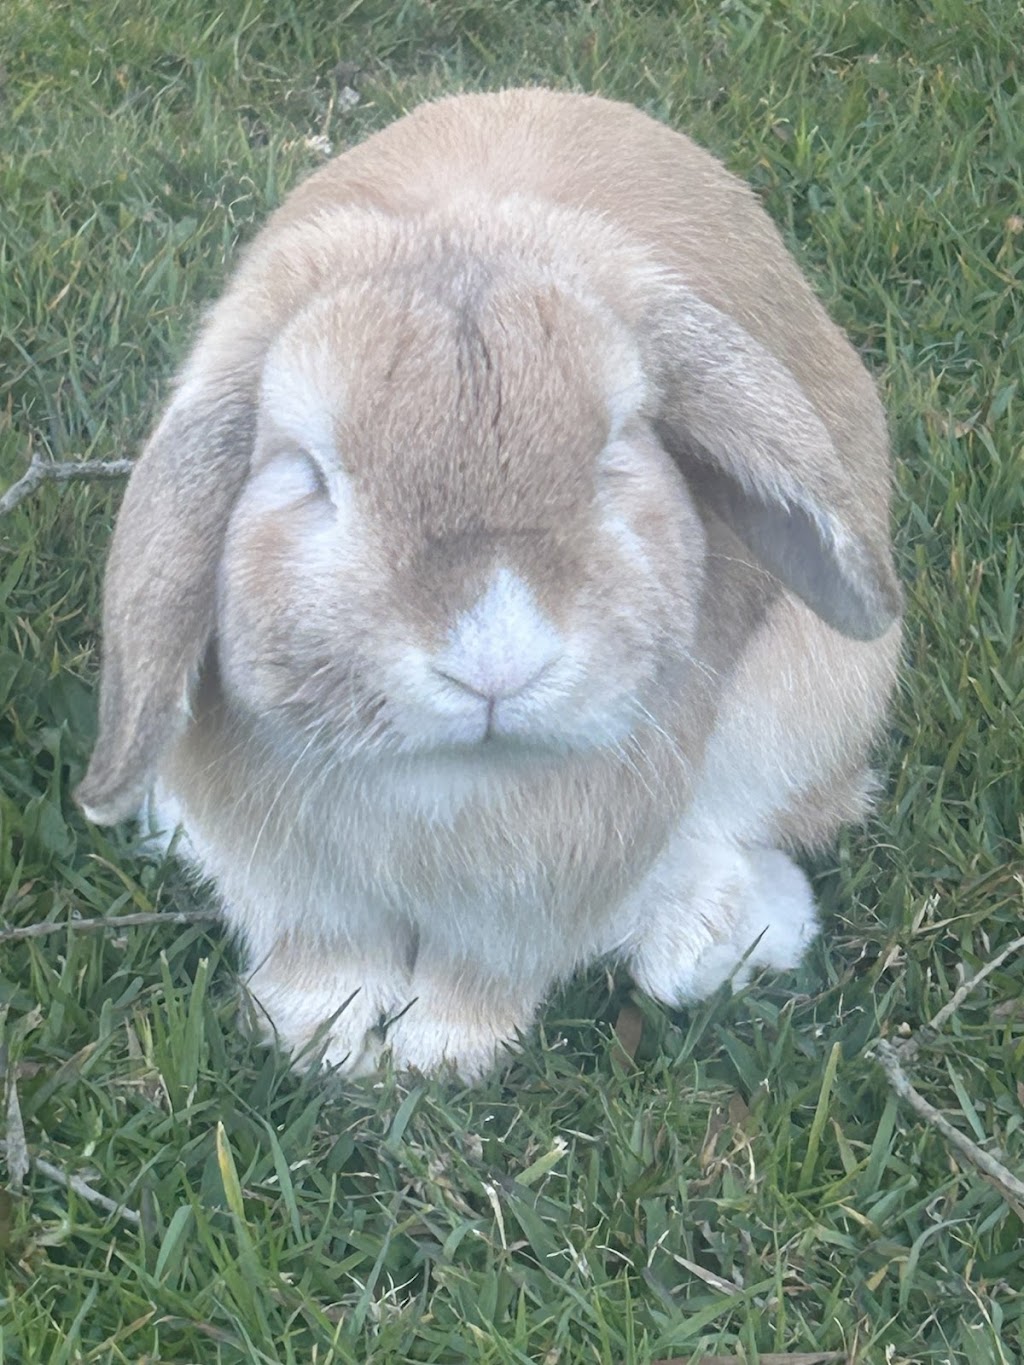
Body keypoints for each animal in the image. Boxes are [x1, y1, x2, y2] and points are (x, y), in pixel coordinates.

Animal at [76, 89, 902, 1081]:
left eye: (616, 450)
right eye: (311, 473)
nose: (496, 661)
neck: (438, 782)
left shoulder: (534, 900)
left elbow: (486, 976)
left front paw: (435, 1056)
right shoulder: (297, 888)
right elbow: (323, 955)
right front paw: (322, 1040)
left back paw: (707, 934)